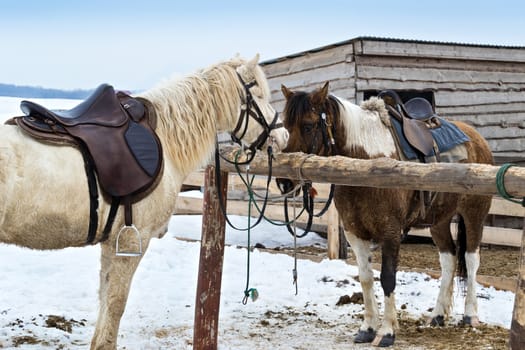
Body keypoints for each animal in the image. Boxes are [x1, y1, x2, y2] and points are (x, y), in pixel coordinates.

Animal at [0, 54, 286, 348]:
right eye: (258, 94)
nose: (282, 136)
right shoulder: (132, 240)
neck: (166, 139)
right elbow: (116, 303)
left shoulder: (111, 242)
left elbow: (105, 298)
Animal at [276, 82, 494, 348]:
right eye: (286, 126)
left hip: (474, 213)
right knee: (449, 259)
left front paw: (387, 332)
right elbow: (366, 278)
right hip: (438, 221)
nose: (284, 182)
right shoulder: (355, 233)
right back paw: (438, 315)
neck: (364, 165)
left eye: (308, 125)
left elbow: (388, 278)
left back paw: (470, 315)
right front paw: (367, 328)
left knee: (472, 259)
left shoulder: (390, 232)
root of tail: (476, 138)